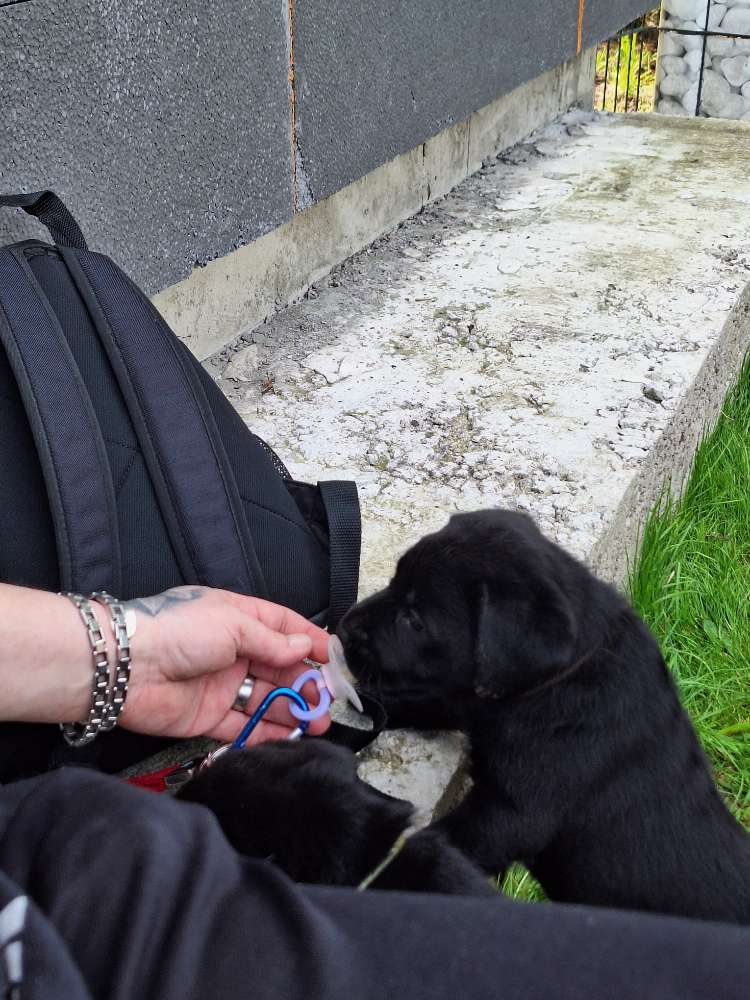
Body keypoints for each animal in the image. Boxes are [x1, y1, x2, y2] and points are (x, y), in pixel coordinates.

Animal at [340, 512, 750, 924]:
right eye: (395, 578)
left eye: (414, 619)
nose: (344, 627)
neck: (556, 682)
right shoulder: (474, 701)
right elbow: (432, 700)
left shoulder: (508, 814)